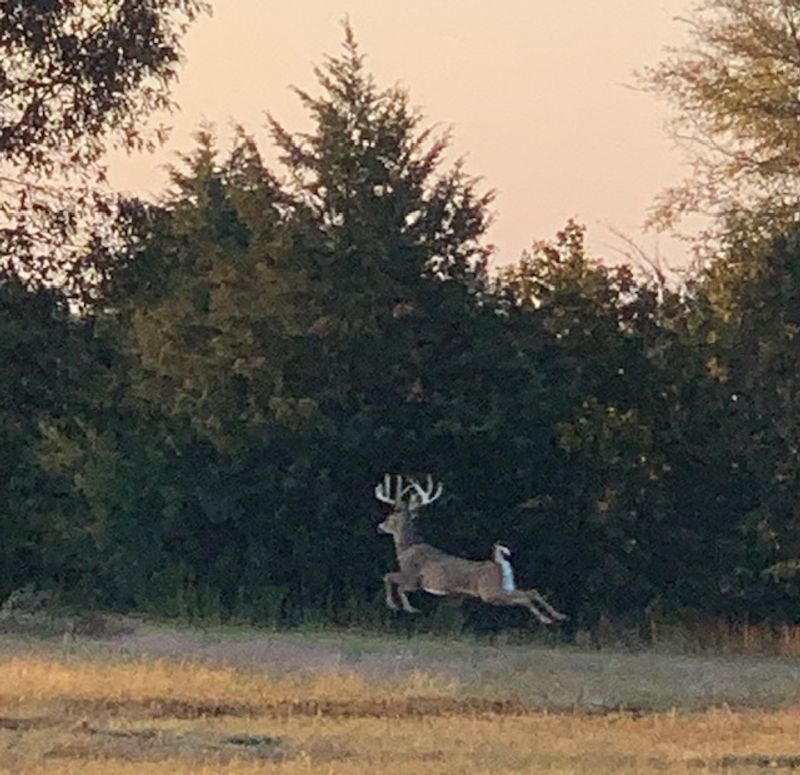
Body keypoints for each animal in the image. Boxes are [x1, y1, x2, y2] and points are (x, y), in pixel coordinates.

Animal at [374, 475, 567, 623]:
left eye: (389, 517)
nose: (379, 526)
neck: (407, 549)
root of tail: (500, 563)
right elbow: (390, 578)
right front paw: (400, 607)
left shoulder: (414, 578)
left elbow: (390, 578)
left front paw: (402, 607)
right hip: (505, 586)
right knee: (531, 591)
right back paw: (559, 616)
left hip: (490, 592)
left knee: (525, 597)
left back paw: (547, 619)